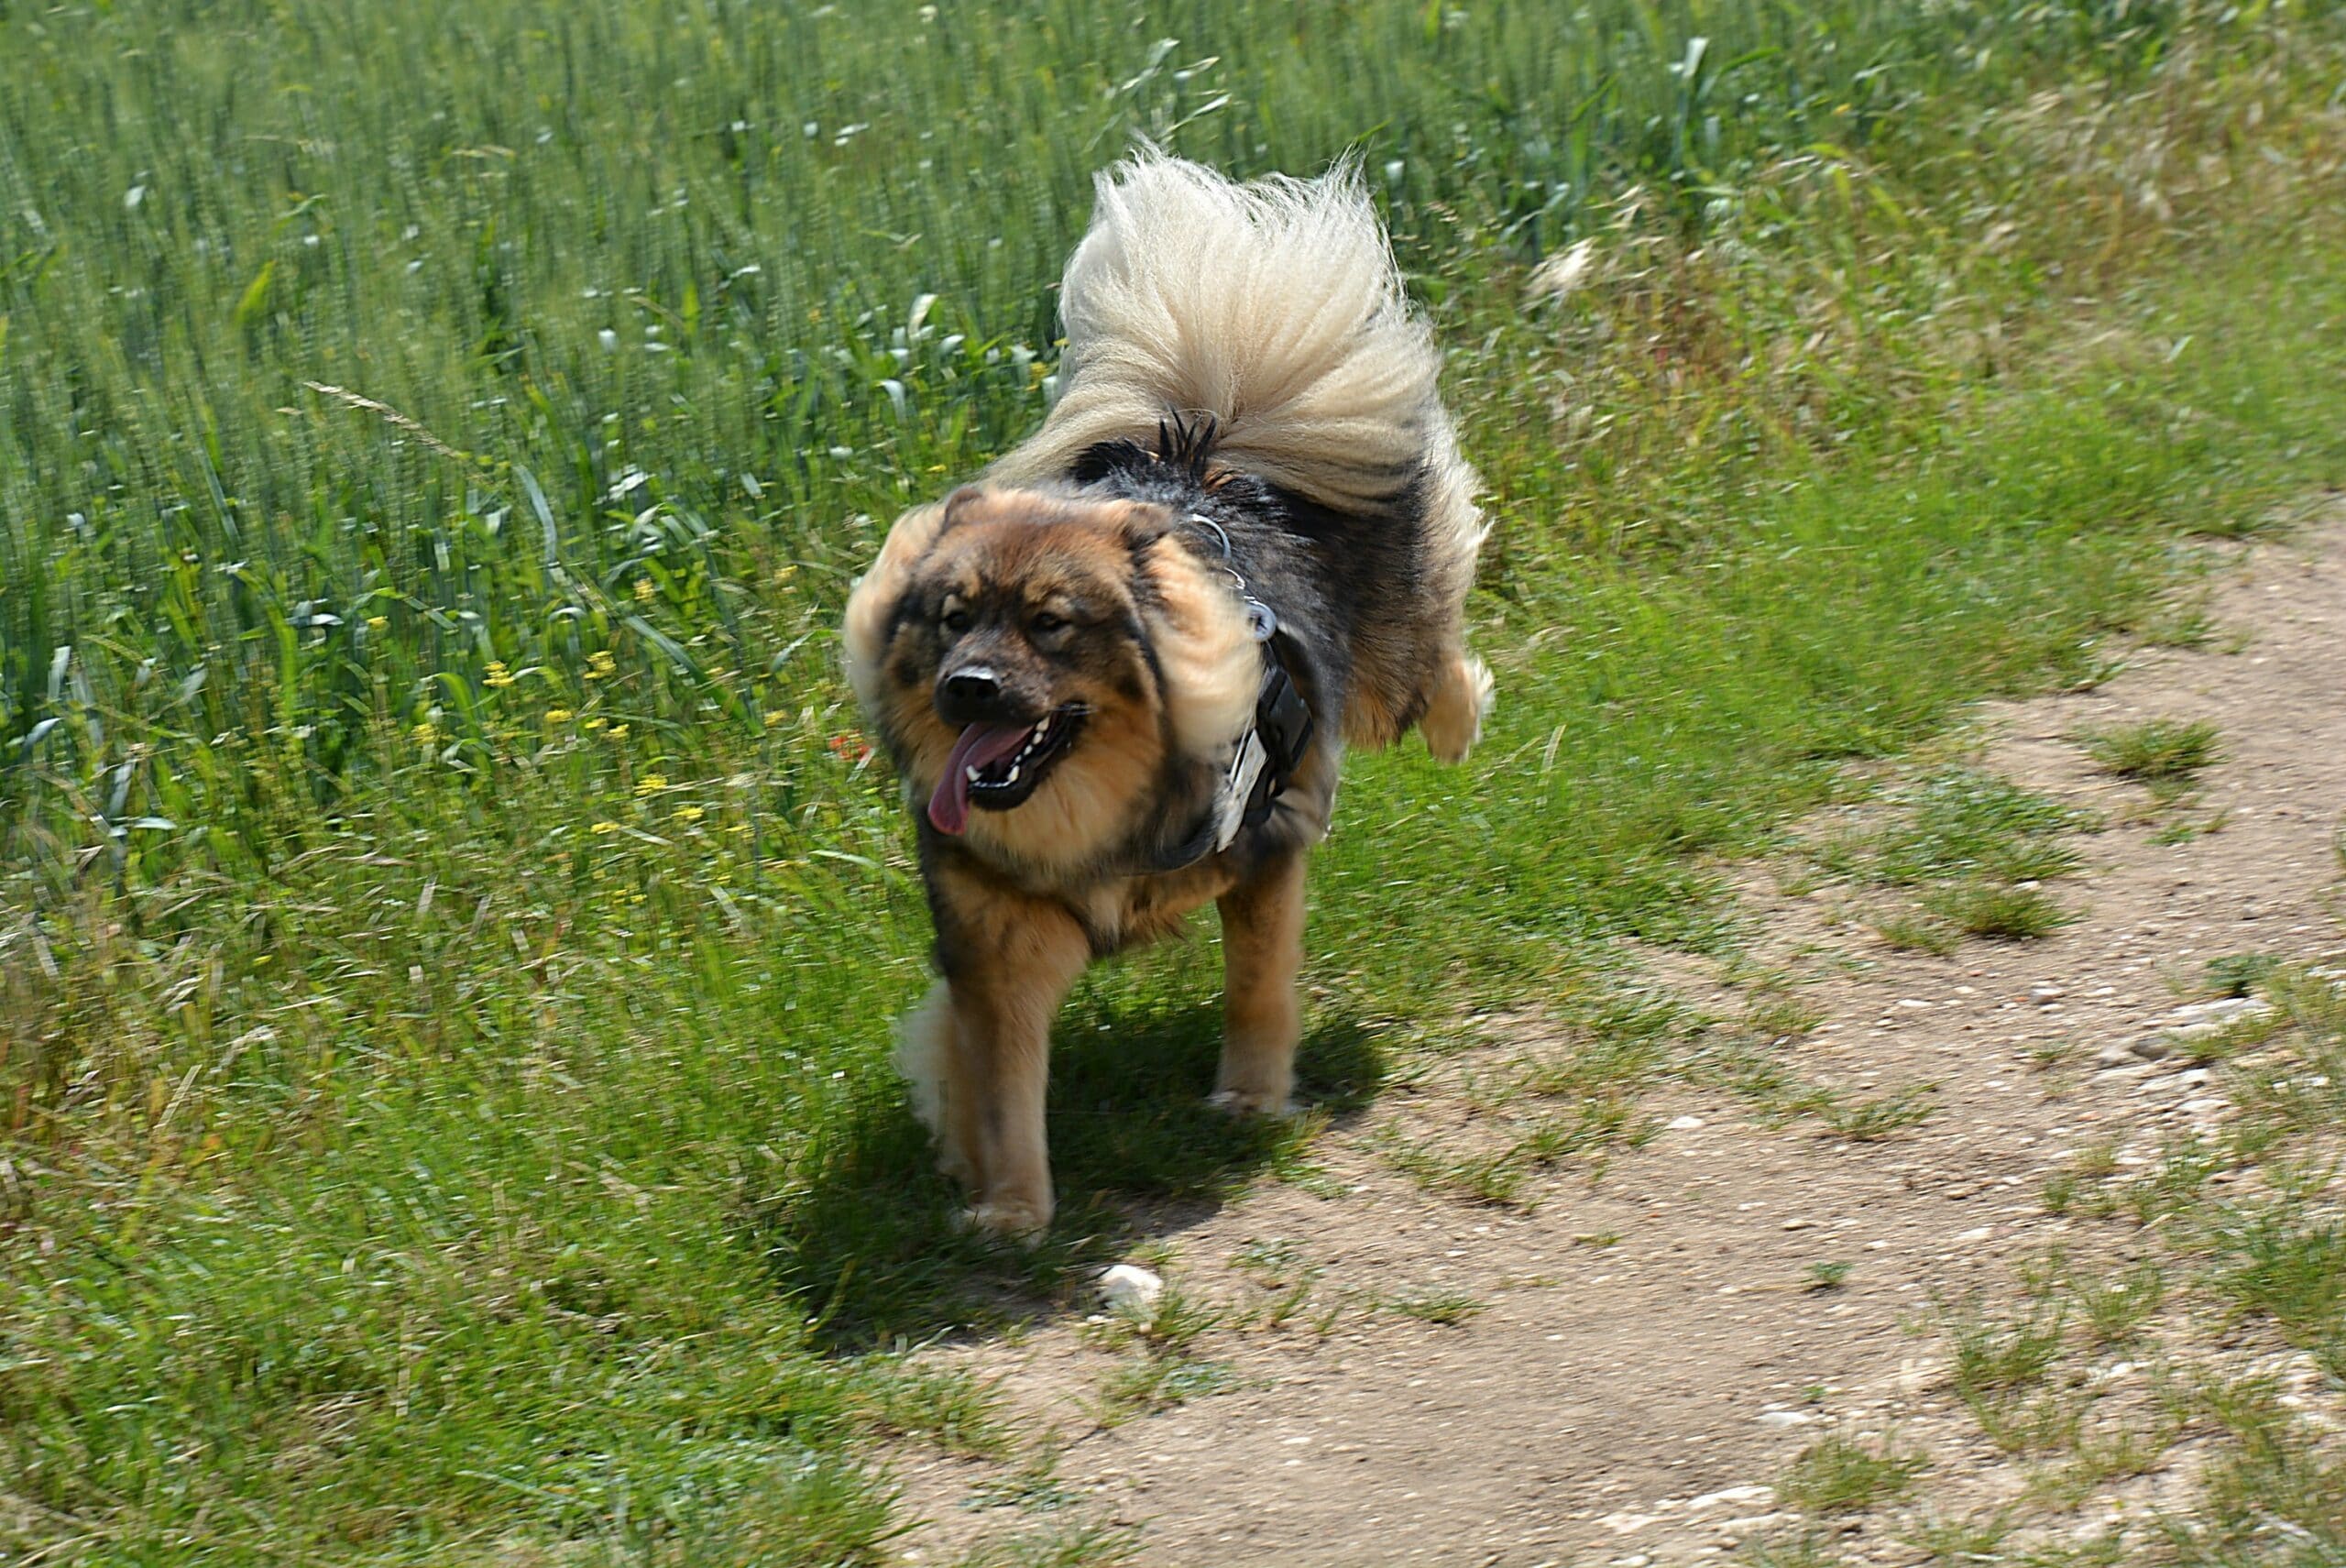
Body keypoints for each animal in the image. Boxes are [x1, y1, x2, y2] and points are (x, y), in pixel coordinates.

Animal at [844, 149, 1492, 1239]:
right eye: (951, 617)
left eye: (1051, 624)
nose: (966, 689)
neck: (1091, 818)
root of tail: (1206, 454)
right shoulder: (1000, 941)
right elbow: (1001, 1085)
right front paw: (1009, 1208)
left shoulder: (1266, 854)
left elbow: (1256, 989)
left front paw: (1251, 1098)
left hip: (1384, 655)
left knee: (1427, 656)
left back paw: (1457, 716)